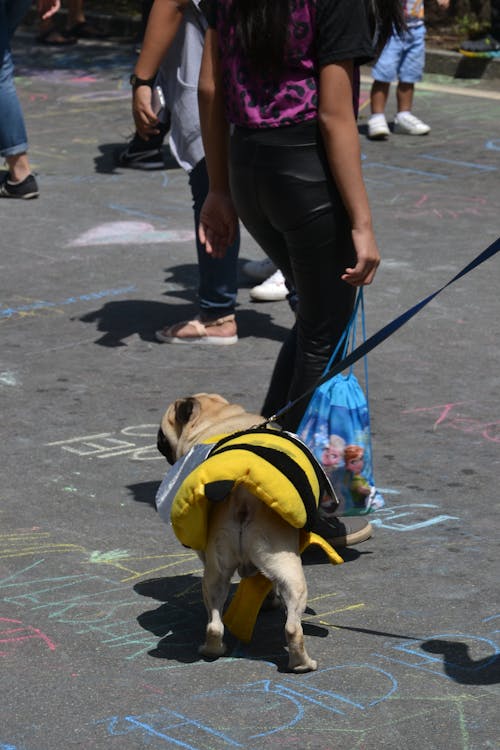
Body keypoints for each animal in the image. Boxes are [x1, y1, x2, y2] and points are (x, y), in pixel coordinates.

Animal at [158, 394, 324, 676]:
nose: (158, 442)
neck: (219, 419)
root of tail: (243, 491)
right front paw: (269, 600)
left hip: (216, 574)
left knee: (215, 623)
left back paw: (212, 649)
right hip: (287, 567)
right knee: (293, 626)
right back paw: (302, 664)